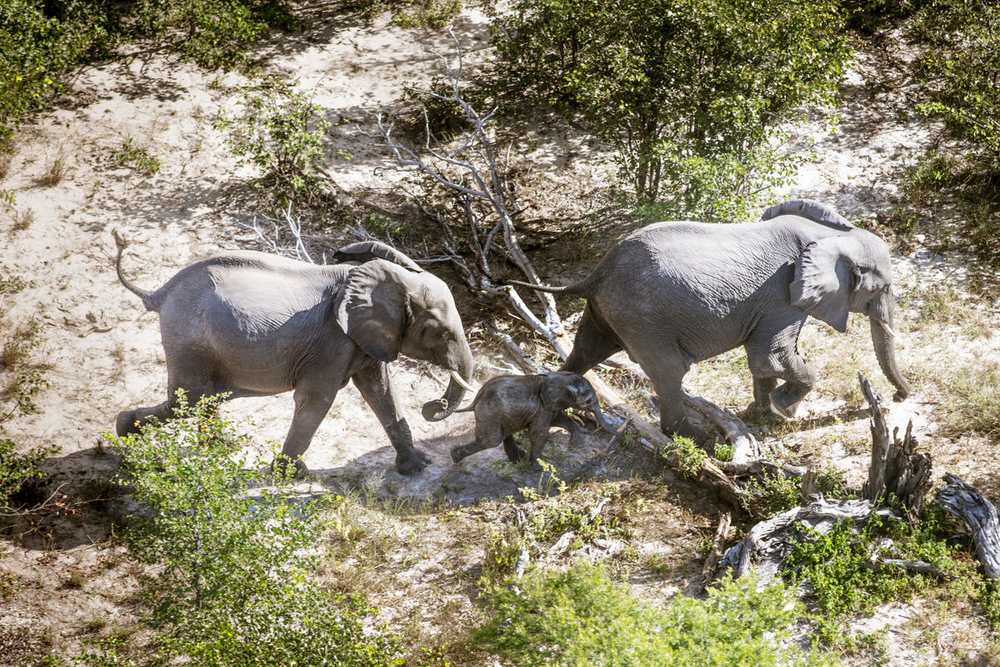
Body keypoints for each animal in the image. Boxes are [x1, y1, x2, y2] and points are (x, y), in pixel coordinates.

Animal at [112, 235, 472, 474]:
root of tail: (161, 292)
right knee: (187, 400)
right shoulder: (333, 342)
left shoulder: (364, 339)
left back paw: (213, 448)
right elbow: (317, 400)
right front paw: (289, 475)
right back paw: (125, 430)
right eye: (439, 332)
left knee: (202, 399)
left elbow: (381, 392)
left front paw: (417, 467)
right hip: (189, 339)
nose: (433, 404)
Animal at [450, 374, 612, 468]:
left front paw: (577, 445)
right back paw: (455, 457)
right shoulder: (542, 406)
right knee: (491, 440)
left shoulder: (549, 405)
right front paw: (536, 468)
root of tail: (477, 397)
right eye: (588, 400)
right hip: (488, 411)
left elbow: (561, 419)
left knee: (503, 434)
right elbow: (539, 433)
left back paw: (517, 459)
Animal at [512, 201, 912, 446]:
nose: (897, 397)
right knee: (670, 370)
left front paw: (761, 415)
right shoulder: (783, 296)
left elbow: (763, 361)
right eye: (884, 287)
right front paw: (786, 409)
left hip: (609, 310)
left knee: (584, 353)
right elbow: (770, 357)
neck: (834, 236)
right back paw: (698, 438)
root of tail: (596, 272)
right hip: (642, 317)